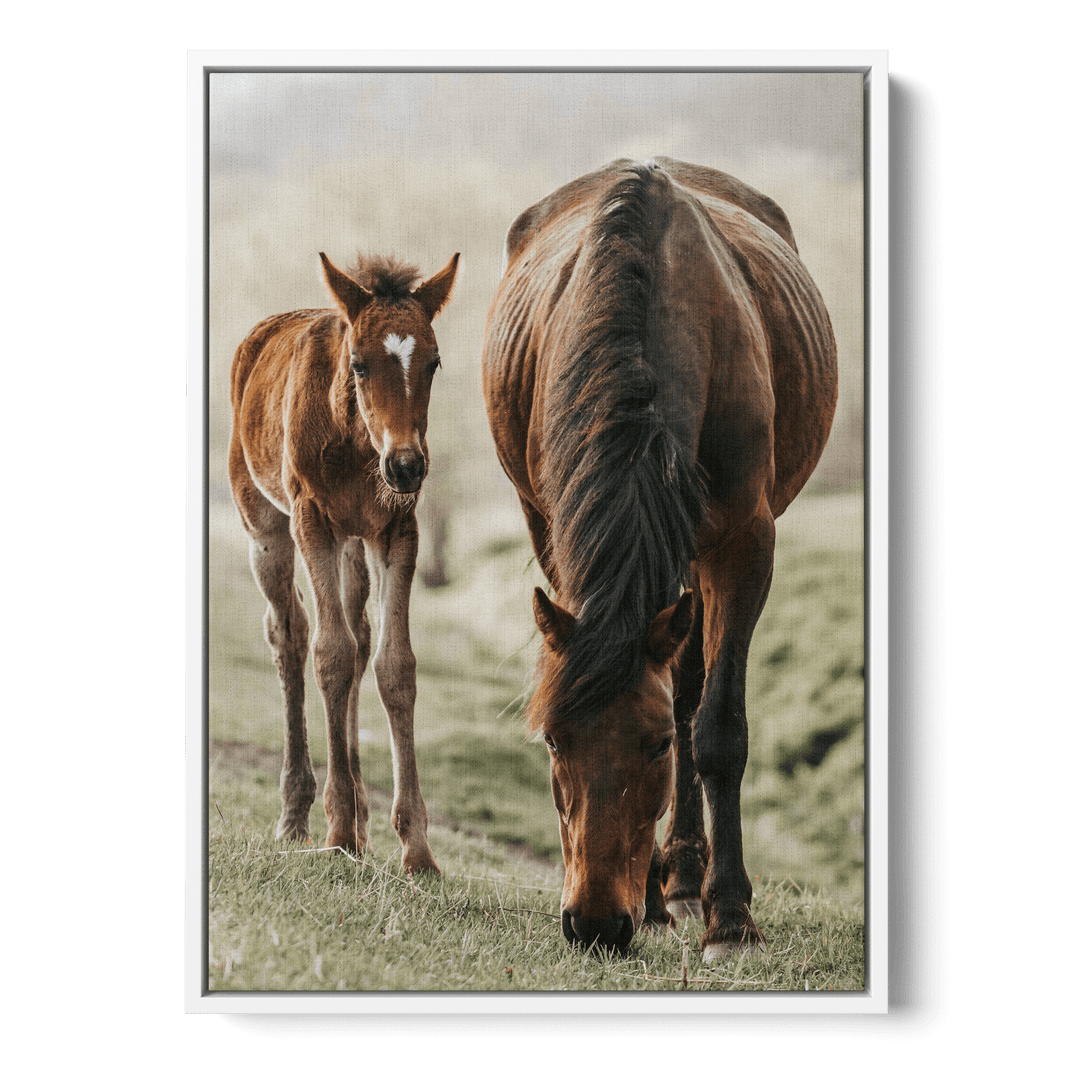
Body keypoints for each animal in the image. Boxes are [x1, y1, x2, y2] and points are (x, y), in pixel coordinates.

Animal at [229, 250, 459, 873]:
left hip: (355, 546)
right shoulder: (313, 521)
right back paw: (298, 814)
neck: (359, 447)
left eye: (433, 363)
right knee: (289, 633)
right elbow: (328, 653)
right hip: (266, 526)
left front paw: (416, 848)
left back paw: (359, 816)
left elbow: (393, 665)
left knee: (359, 638)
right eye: (358, 364)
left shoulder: (396, 530)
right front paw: (336, 832)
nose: (406, 466)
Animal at [481, 158, 837, 958]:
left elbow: (714, 727)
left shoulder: (744, 542)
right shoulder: (556, 533)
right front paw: (650, 897)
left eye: (653, 749)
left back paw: (690, 879)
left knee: (691, 689)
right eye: (553, 741)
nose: (594, 923)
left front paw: (729, 918)